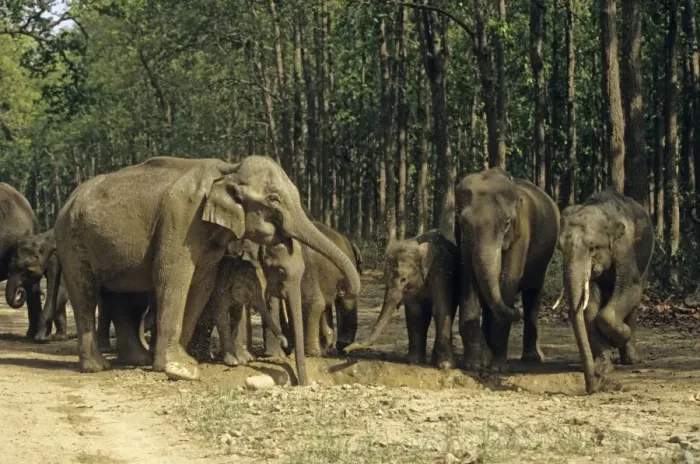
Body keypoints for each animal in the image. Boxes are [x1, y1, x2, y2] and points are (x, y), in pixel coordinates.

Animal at [259, 221, 361, 358]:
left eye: (280, 271)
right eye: (264, 268)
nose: (287, 348)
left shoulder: (307, 269)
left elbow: (313, 303)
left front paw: (312, 353)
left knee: (345, 300)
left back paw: (342, 346)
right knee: (327, 305)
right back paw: (327, 348)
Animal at [344, 230, 459, 369]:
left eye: (403, 279)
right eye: (385, 277)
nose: (345, 350)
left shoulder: (440, 270)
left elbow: (440, 309)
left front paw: (446, 365)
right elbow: (415, 312)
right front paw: (413, 361)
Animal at [455, 168, 560, 372]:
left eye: (507, 223)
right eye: (464, 225)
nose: (516, 312)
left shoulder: (522, 233)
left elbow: (508, 279)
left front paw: (497, 367)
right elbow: (467, 278)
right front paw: (475, 364)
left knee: (533, 294)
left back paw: (532, 358)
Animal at [556, 188, 654, 394]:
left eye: (592, 247)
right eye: (559, 248)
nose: (592, 385)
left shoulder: (624, 246)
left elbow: (631, 287)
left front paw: (619, 339)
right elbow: (590, 310)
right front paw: (603, 366)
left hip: (647, 255)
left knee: (635, 299)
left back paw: (631, 358)